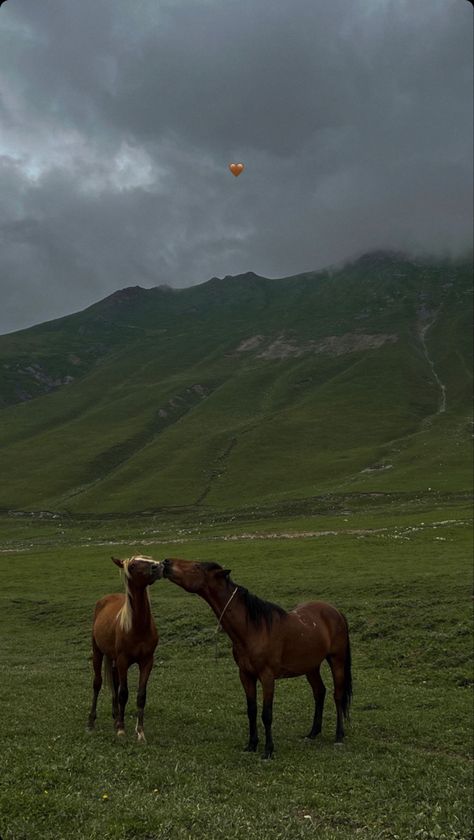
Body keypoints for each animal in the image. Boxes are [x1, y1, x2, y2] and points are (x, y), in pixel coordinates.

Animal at [87, 556, 163, 740]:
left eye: (149, 558)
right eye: (133, 565)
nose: (157, 566)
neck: (138, 626)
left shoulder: (147, 661)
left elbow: (141, 695)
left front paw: (140, 732)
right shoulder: (123, 661)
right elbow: (123, 693)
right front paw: (121, 729)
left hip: (113, 659)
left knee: (114, 683)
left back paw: (115, 717)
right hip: (98, 652)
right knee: (97, 683)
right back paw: (91, 721)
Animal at [163, 556, 352, 760]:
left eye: (197, 566)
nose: (166, 562)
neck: (253, 628)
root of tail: (336, 611)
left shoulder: (267, 677)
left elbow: (266, 714)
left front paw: (268, 750)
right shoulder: (246, 675)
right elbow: (251, 710)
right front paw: (252, 744)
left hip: (337, 660)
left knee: (337, 695)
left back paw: (339, 736)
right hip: (311, 666)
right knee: (319, 692)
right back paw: (312, 733)